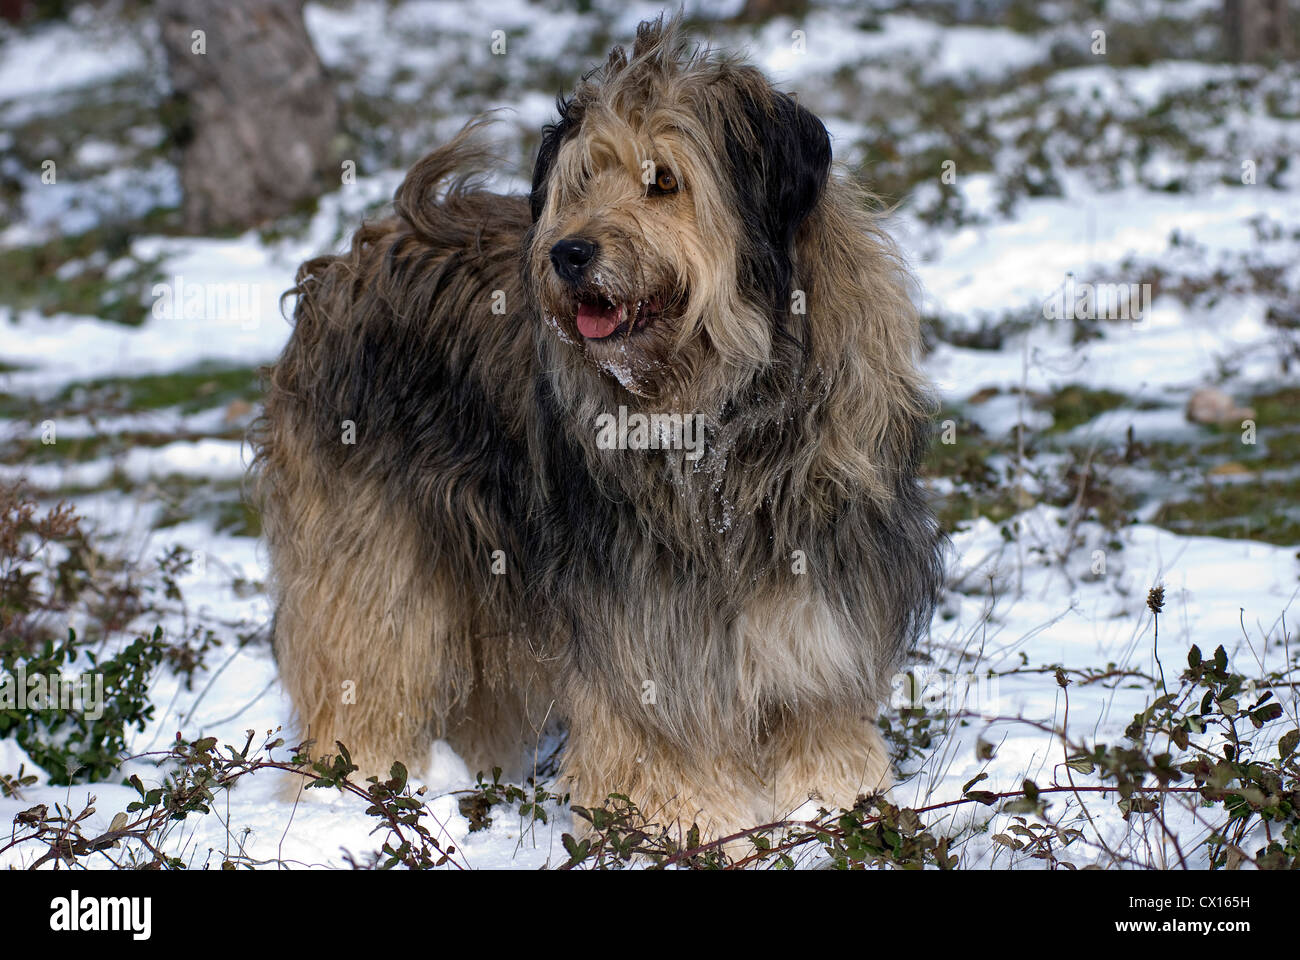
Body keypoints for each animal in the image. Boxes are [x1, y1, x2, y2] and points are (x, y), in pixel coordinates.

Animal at [250, 14, 946, 837]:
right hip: (370, 543)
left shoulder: (822, 578)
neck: (724, 413)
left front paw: (831, 794)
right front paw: (676, 820)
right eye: (581, 182)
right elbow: (652, 725)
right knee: (365, 657)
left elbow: (815, 693)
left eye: (664, 181)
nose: (568, 252)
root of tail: (358, 253)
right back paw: (351, 782)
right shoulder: (636, 608)